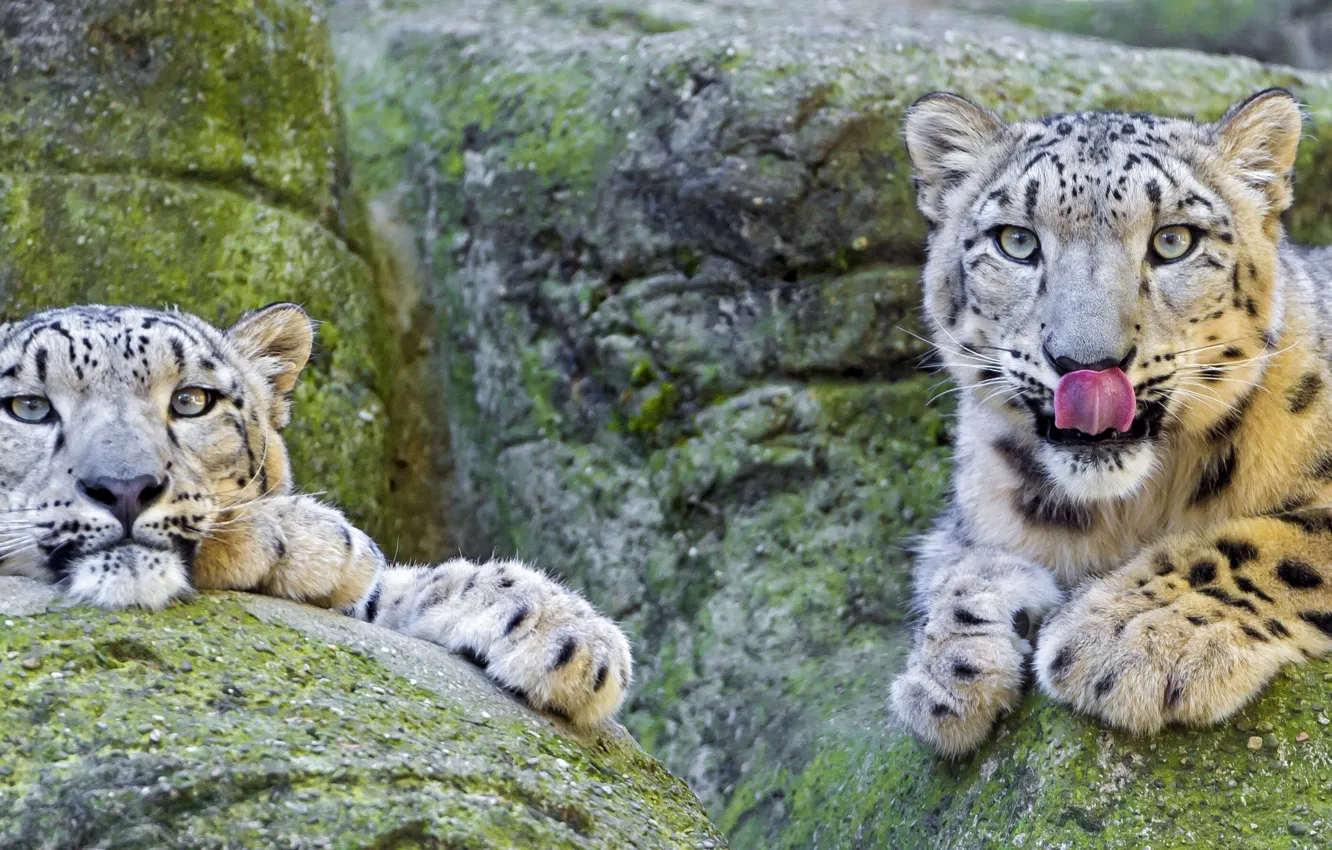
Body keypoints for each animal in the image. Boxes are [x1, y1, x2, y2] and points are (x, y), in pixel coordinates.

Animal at [889, 87, 1332, 756]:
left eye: (1173, 241)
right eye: (1016, 241)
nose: (1087, 365)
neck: (1127, 511)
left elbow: (1272, 543)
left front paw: (1131, 634)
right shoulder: (973, 515)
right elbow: (957, 566)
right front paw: (947, 670)